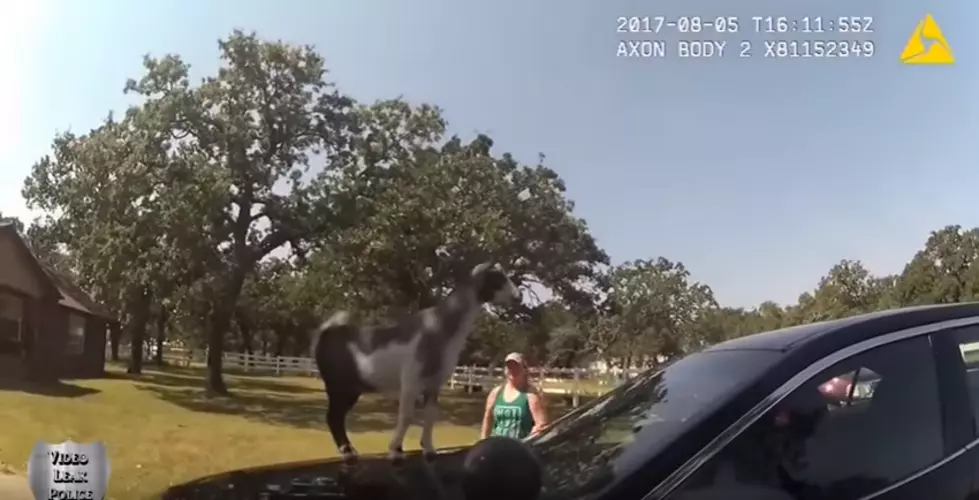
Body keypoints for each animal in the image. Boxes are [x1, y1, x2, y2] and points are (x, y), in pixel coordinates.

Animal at [310, 264, 520, 462]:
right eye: (496, 278)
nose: (517, 297)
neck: (440, 327)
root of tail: (327, 333)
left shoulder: (435, 382)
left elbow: (430, 416)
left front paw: (429, 450)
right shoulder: (411, 379)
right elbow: (406, 416)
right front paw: (395, 451)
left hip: (353, 388)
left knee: (337, 416)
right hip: (338, 385)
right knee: (333, 416)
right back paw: (348, 452)